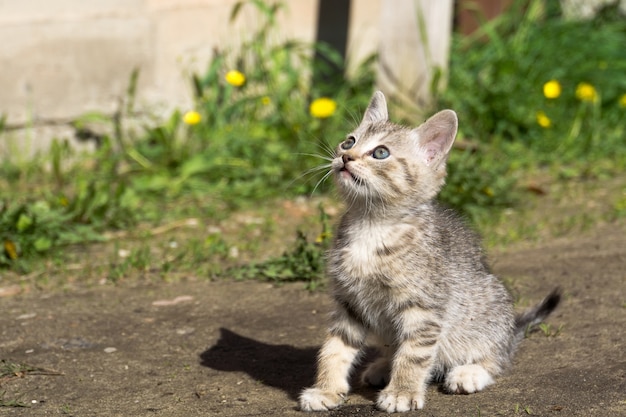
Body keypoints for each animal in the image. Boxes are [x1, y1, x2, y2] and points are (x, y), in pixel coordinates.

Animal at [298, 91, 560, 412]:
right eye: (349, 141)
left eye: (381, 153)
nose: (345, 157)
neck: (371, 226)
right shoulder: (349, 304)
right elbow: (335, 348)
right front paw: (326, 389)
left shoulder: (424, 309)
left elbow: (413, 354)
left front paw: (402, 392)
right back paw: (383, 365)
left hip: (489, 308)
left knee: (497, 359)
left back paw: (470, 372)